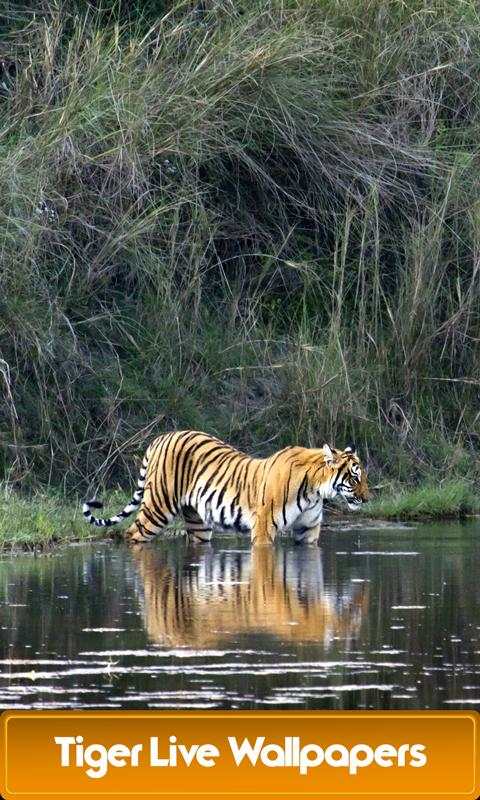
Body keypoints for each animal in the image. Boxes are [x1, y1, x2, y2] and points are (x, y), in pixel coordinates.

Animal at [82, 430, 369, 545]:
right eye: (355, 478)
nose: (367, 499)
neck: (314, 492)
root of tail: (161, 437)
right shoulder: (264, 528)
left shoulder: (307, 530)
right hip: (157, 508)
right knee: (131, 534)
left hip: (198, 523)